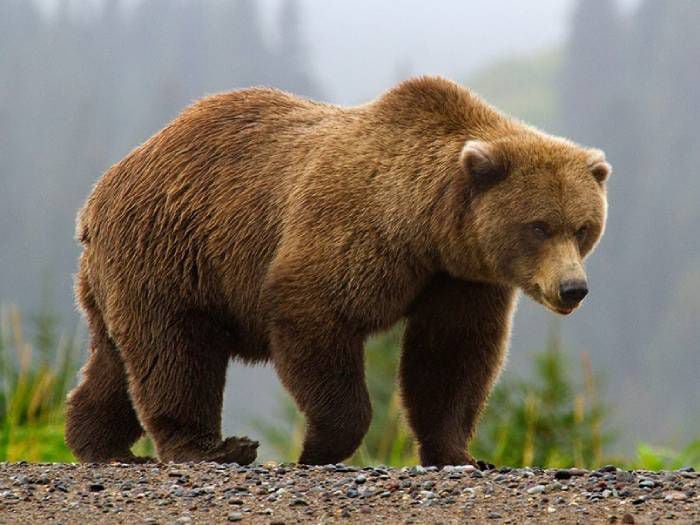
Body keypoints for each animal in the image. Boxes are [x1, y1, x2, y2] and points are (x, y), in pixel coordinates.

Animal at [67, 75, 612, 464]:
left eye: (583, 228)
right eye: (539, 226)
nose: (573, 288)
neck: (427, 228)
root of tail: (100, 192)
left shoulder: (460, 278)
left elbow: (452, 356)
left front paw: (460, 453)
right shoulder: (354, 232)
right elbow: (315, 315)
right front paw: (318, 447)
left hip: (125, 273)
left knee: (117, 361)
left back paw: (99, 443)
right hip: (172, 250)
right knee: (176, 351)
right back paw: (212, 448)